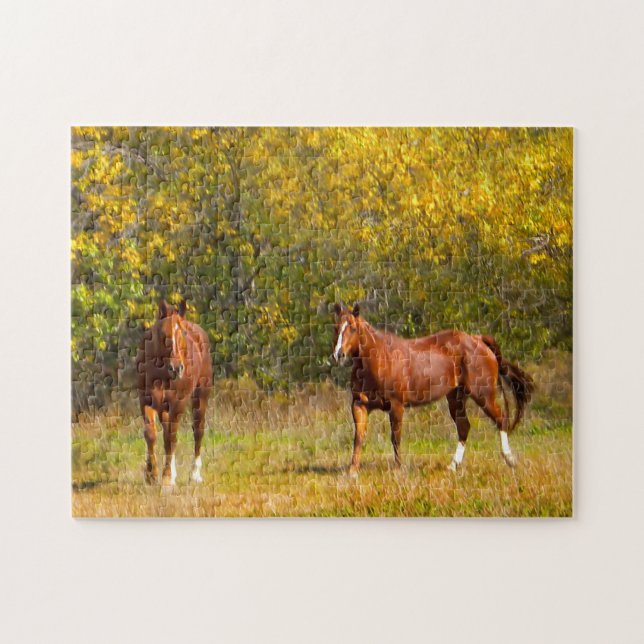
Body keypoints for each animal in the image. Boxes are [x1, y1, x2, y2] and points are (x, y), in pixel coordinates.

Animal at [136, 299, 212, 486]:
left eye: (183, 333)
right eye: (163, 333)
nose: (177, 368)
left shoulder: (178, 402)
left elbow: (171, 438)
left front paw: (166, 478)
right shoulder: (146, 400)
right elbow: (151, 435)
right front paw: (152, 474)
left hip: (201, 395)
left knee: (197, 429)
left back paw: (194, 474)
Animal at [332, 303, 534, 475]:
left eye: (353, 328)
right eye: (336, 327)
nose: (338, 354)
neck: (378, 359)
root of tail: (478, 340)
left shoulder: (396, 406)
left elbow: (395, 437)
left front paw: (397, 469)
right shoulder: (359, 404)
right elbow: (358, 437)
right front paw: (352, 471)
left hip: (483, 394)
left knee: (501, 419)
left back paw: (510, 459)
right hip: (456, 397)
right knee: (464, 427)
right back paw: (452, 466)